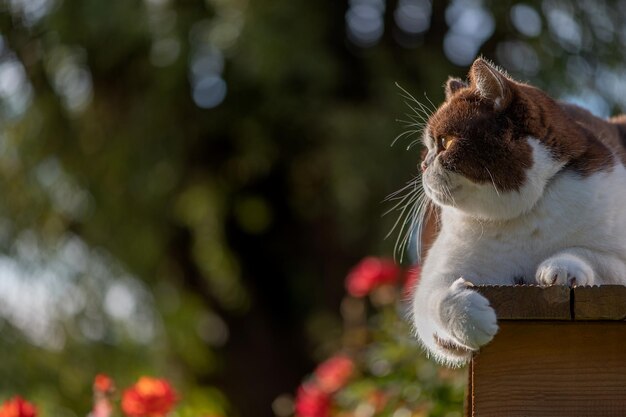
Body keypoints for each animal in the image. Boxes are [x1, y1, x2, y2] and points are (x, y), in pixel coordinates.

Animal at [410, 57, 626, 364]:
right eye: (427, 148)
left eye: (446, 143)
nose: (423, 165)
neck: (521, 216)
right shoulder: (440, 274)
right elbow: (431, 299)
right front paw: (473, 321)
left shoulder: (616, 254)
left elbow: (594, 256)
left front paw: (560, 269)